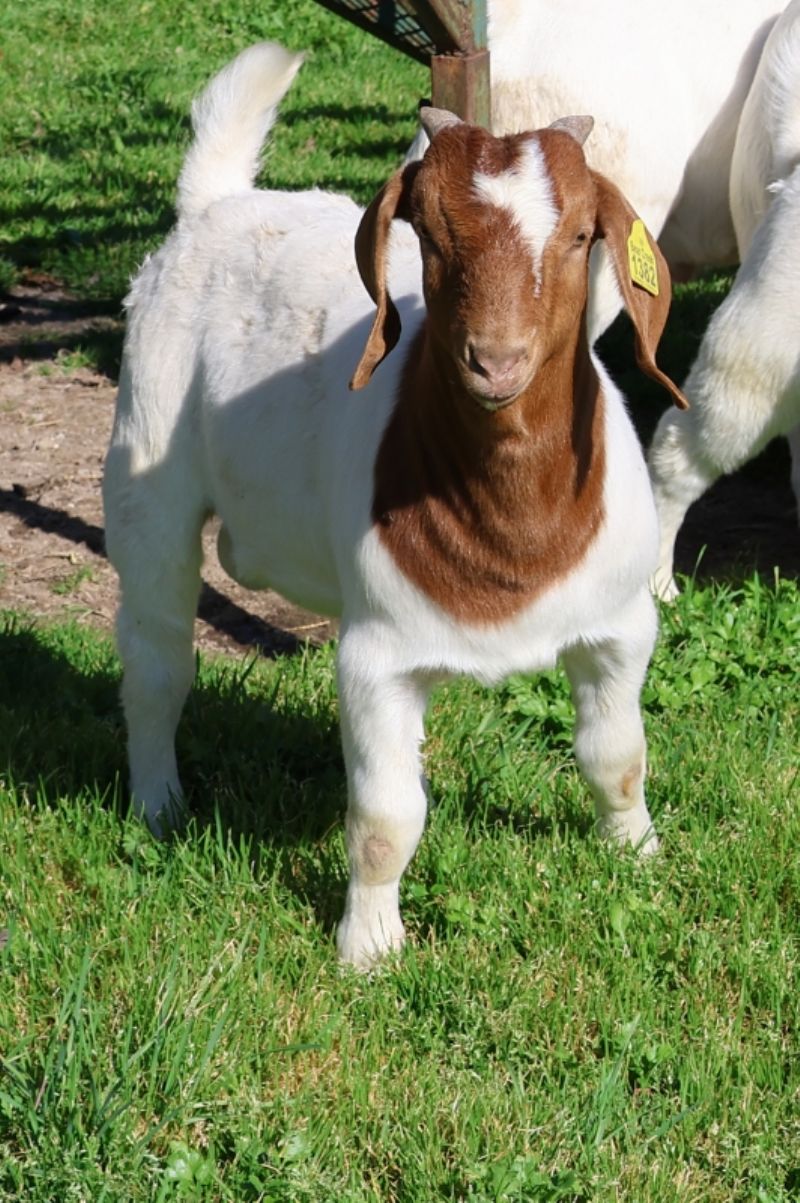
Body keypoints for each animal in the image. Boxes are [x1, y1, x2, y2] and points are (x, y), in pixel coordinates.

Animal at [103, 42, 687, 968]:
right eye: (432, 236)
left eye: (579, 237)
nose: (497, 360)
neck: (512, 531)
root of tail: (220, 204)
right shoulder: (377, 657)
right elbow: (384, 817)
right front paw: (369, 945)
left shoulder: (621, 626)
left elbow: (618, 755)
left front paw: (637, 854)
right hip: (147, 459)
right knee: (158, 657)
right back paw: (158, 804)